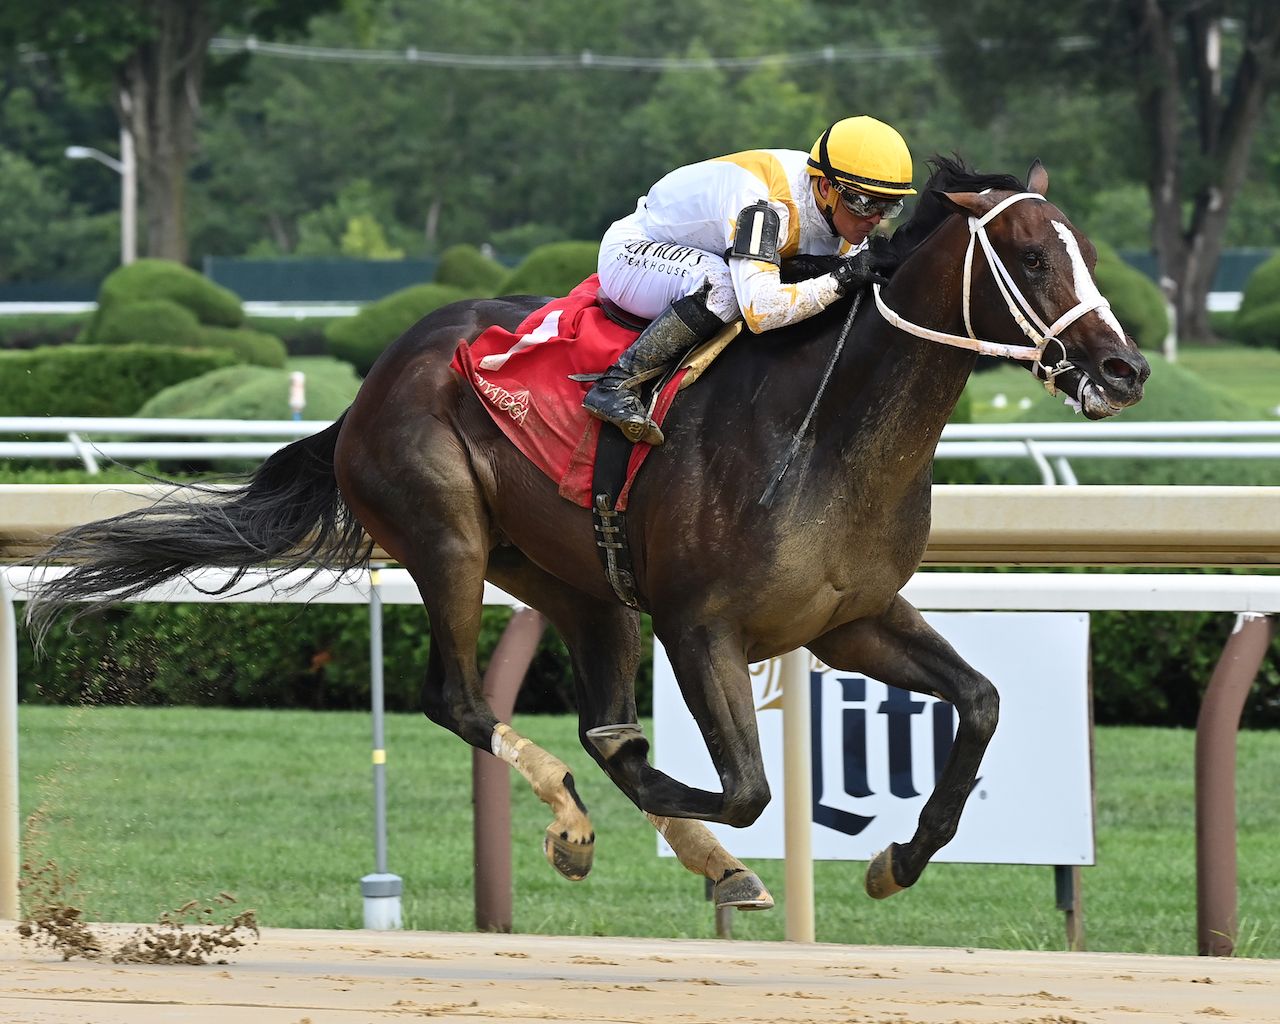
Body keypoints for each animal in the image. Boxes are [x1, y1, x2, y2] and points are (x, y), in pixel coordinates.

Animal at [27, 158, 1152, 911]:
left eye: (1089, 254)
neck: (822, 429)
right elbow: (741, 783)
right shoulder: (701, 627)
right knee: (462, 700)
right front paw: (645, 801)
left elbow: (982, 702)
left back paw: (699, 854)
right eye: (1027, 255)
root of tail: (371, 383)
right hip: (447, 538)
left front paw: (898, 857)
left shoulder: (851, 617)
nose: (1125, 367)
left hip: (579, 586)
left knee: (574, 703)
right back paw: (578, 821)